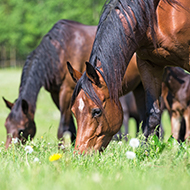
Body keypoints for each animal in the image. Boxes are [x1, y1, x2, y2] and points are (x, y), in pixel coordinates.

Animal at [2, 20, 97, 148]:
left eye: (22, 129)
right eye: (6, 126)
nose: (8, 150)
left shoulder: (67, 91)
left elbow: (63, 127)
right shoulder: (55, 93)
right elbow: (70, 127)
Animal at [67, 0, 189, 153]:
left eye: (96, 111)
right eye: (73, 111)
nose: (80, 153)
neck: (156, 16)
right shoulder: (148, 64)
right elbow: (152, 115)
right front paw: (146, 152)